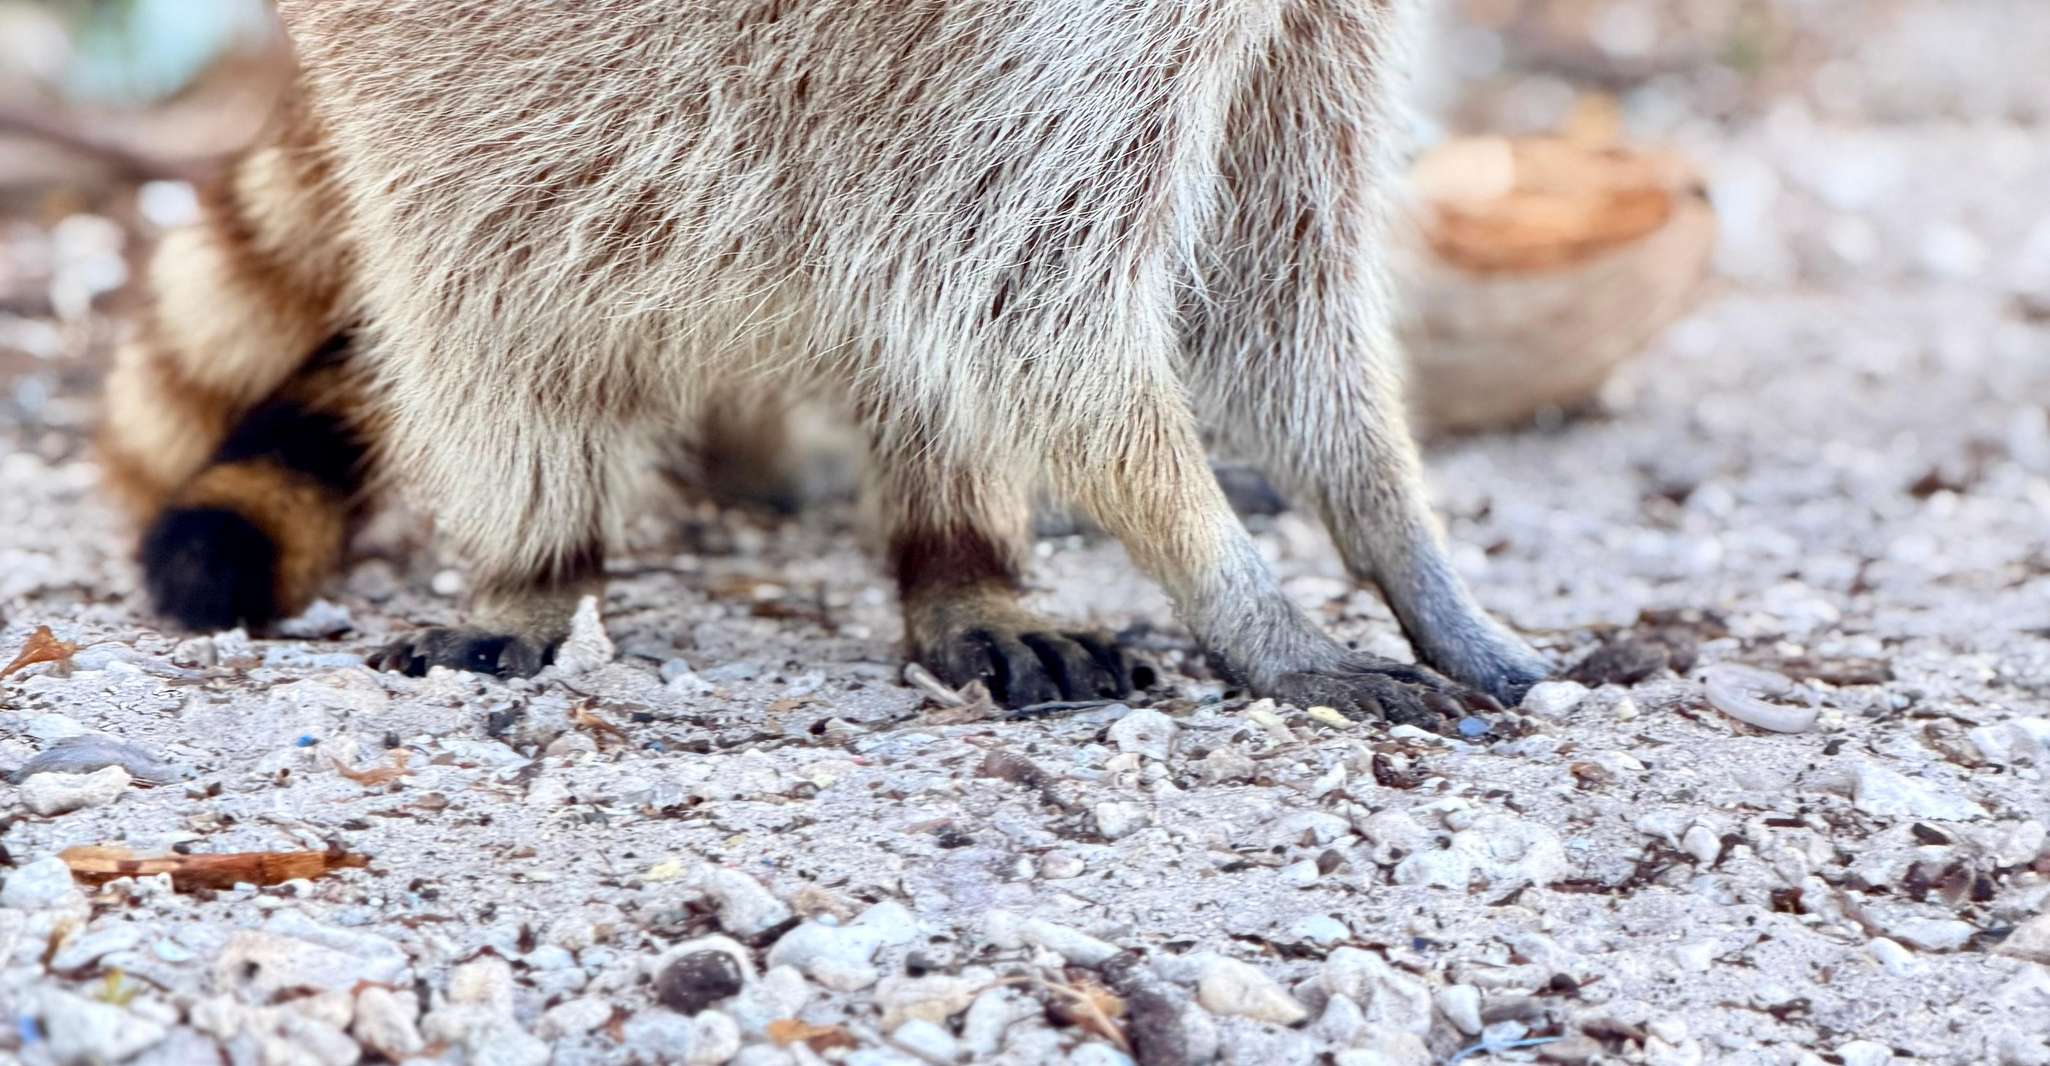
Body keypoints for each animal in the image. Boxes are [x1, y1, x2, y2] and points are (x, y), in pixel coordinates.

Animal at [99, 0, 1549, 718]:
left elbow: (1274, 292)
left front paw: (1396, 534)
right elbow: (1044, 312)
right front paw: (1243, 599)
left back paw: (959, 559)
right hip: (447, 90)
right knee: (498, 308)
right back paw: (536, 561)